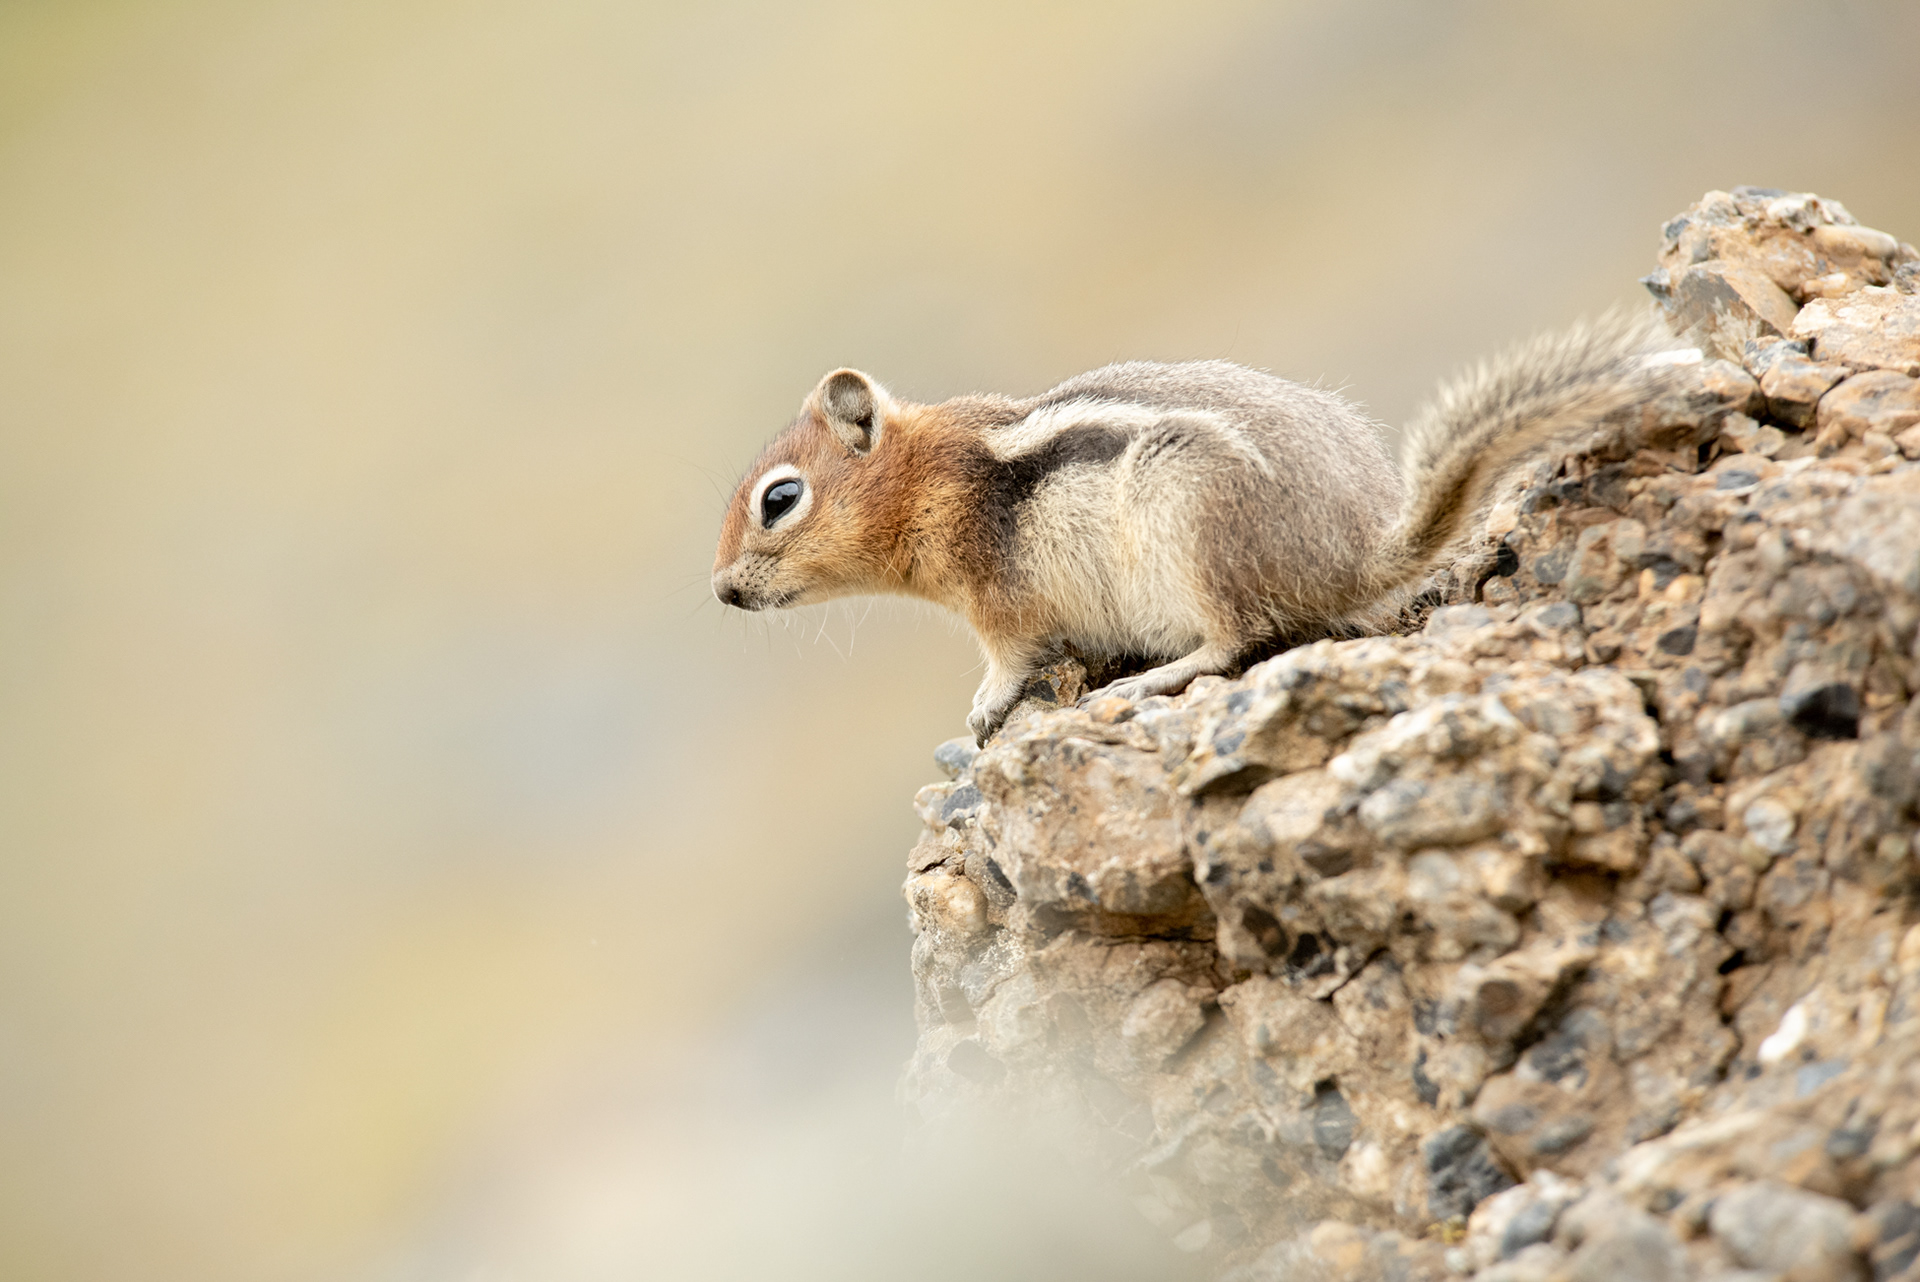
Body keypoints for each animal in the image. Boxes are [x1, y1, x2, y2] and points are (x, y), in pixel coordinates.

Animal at [711, 312, 1688, 746]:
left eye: (779, 500)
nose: (721, 591)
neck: (923, 478)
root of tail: (1356, 558)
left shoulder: (1000, 600)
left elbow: (1010, 659)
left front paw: (987, 707)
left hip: (1190, 522)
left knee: (1236, 641)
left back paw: (1153, 677)